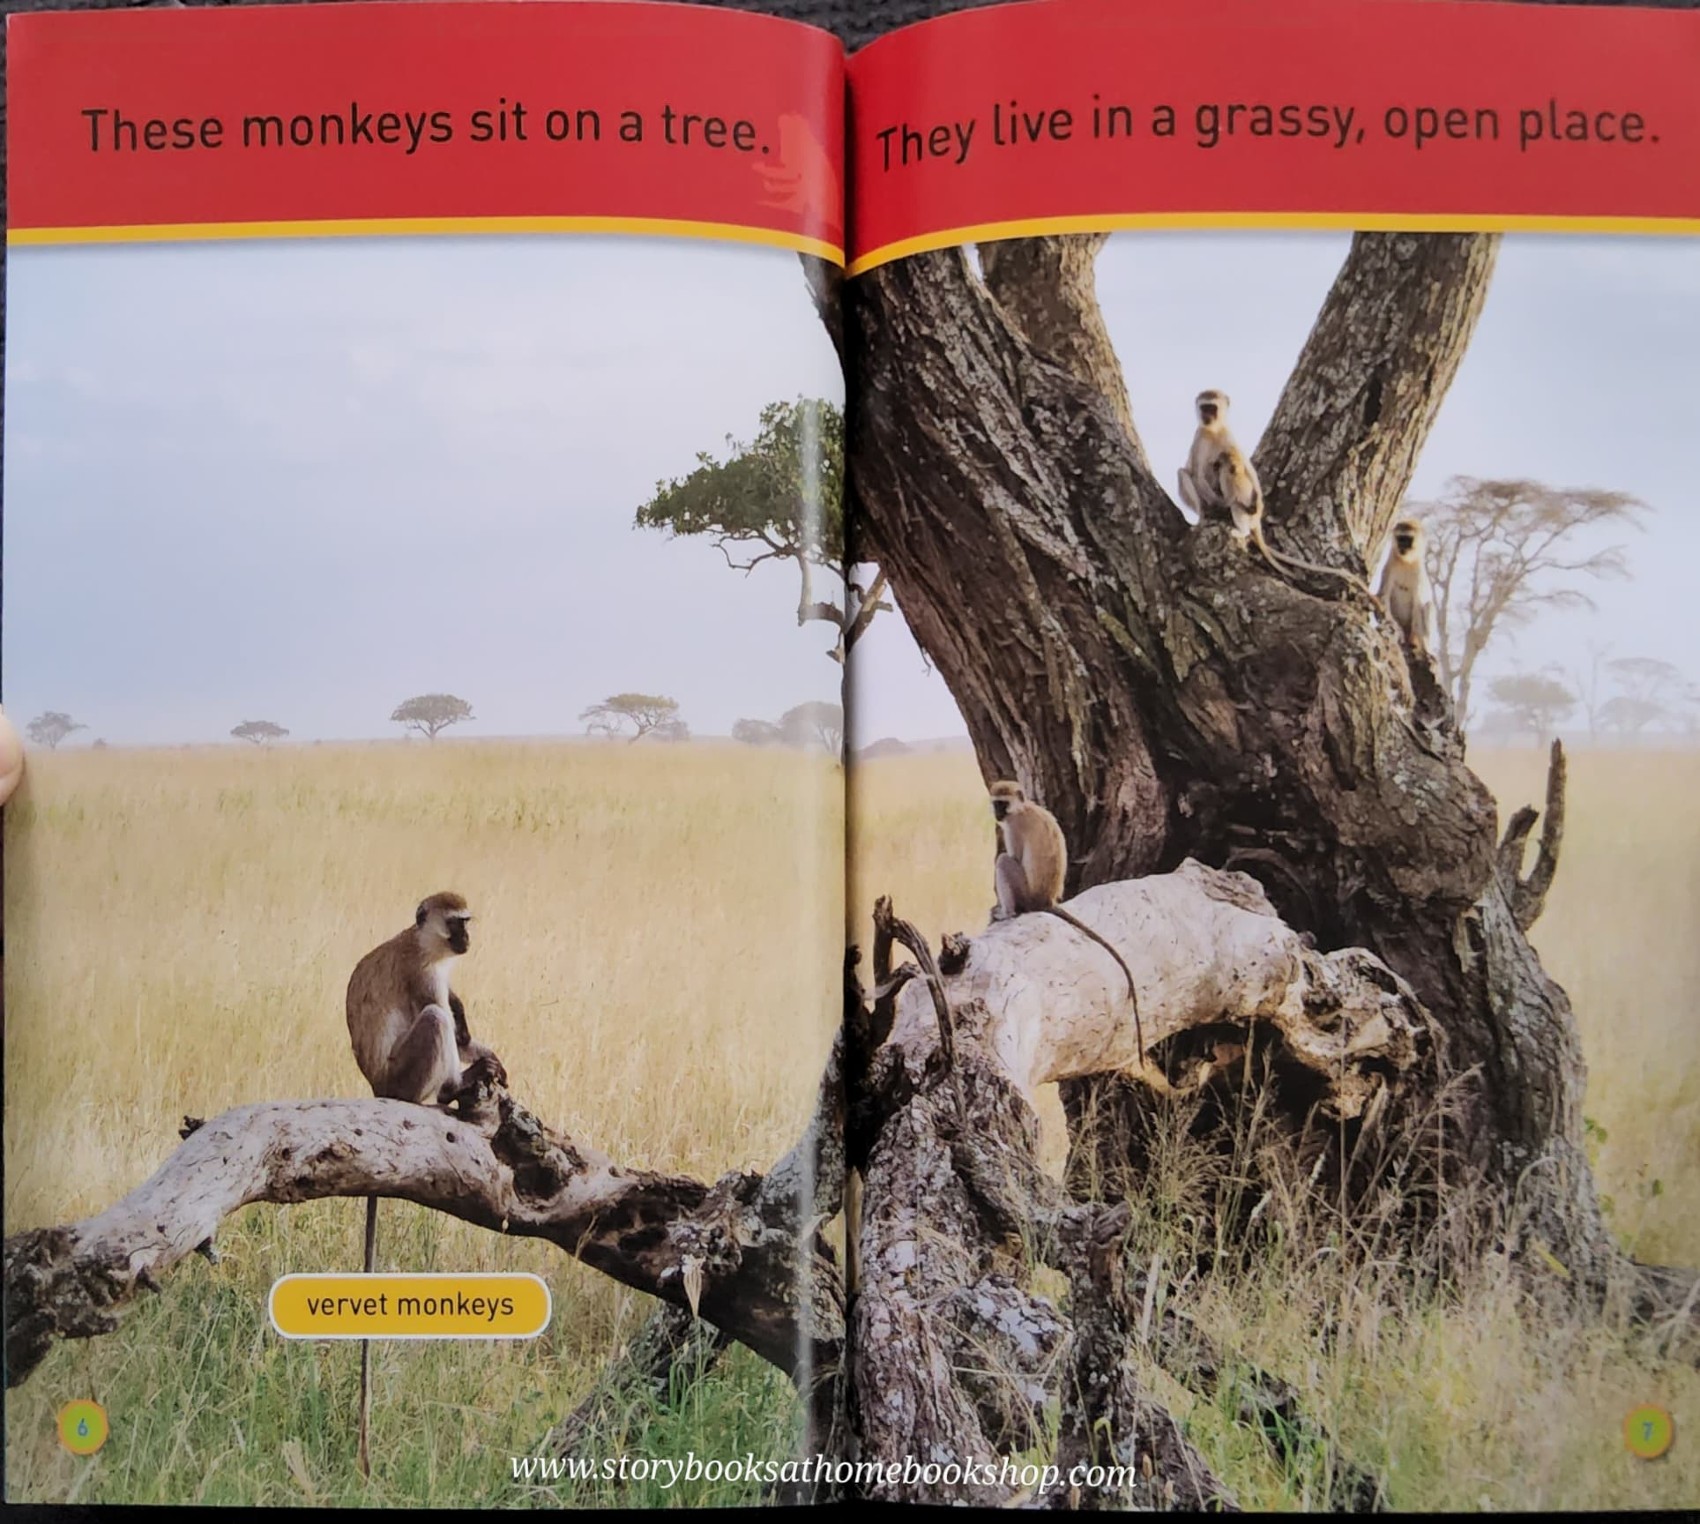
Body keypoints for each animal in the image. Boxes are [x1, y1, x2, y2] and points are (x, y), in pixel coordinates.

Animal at [344, 890, 507, 1477]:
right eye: (456, 923)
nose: (469, 940)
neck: (422, 942)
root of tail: (376, 1087)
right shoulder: (426, 976)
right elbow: (445, 1017)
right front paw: (470, 1070)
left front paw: (490, 1056)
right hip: (403, 1076)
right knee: (437, 1022)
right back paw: (448, 1094)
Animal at [989, 781, 1146, 1067]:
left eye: (1002, 804)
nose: (996, 814)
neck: (1023, 808)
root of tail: (1047, 900)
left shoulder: (1014, 827)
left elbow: (1012, 856)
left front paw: (1004, 912)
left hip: (1026, 892)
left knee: (1004, 861)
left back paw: (1008, 913)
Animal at [1177, 390, 1378, 602]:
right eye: (1204, 407)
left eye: (1212, 408)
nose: (1206, 417)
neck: (1213, 431)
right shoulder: (1199, 438)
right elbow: (1197, 475)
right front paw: (1216, 507)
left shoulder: (1228, 436)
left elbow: (1247, 468)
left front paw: (1255, 503)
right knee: (1184, 474)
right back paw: (1205, 515)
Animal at [1376, 516, 1436, 659]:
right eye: (1400, 539)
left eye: (1408, 540)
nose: (1402, 547)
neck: (1406, 562)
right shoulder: (1389, 567)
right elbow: (1383, 597)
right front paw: (1393, 627)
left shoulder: (1419, 572)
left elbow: (1418, 604)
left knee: (1428, 605)